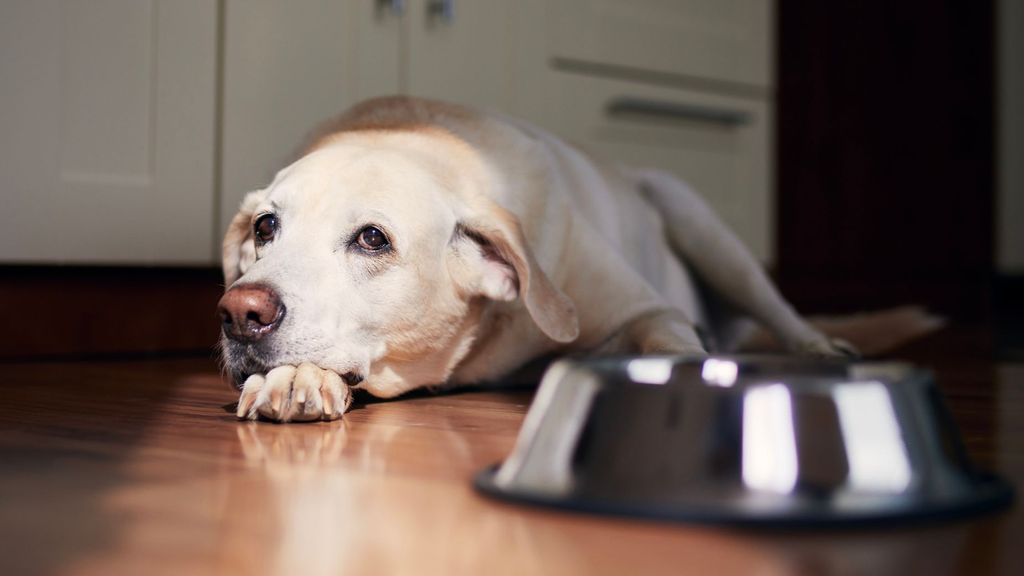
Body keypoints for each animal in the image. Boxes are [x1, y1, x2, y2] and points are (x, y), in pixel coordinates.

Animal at [218, 96, 937, 422]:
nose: (240, 312)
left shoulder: (647, 308)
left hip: (698, 220)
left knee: (780, 309)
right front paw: (294, 379)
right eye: (266, 226)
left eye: (373, 239)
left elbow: (670, 341)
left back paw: (818, 346)